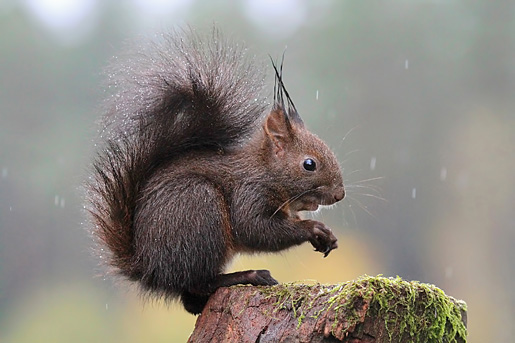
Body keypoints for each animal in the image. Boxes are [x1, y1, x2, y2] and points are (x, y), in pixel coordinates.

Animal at [86, 28, 346, 316]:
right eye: (309, 164)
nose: (340, 195)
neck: (266, 171)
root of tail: (148, 269)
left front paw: (327, 236)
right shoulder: (249, 193)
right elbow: (256, 229)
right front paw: (313, 228)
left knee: (190, 299)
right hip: (200, 210)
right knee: (200, 281)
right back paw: (249, 275)